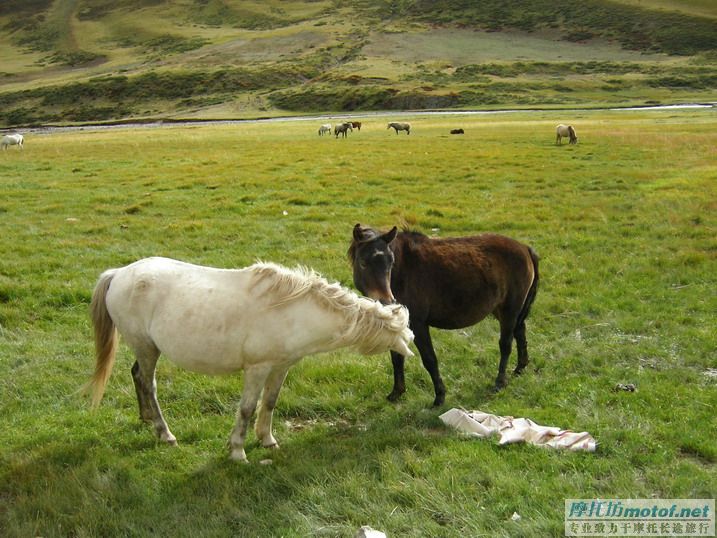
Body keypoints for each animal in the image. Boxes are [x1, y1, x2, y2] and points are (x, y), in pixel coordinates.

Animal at [88, 255, 414, 460]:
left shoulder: (282, 366)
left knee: (137, 376)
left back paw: (146, 418)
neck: (292, 311)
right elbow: (246, 408)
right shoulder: (257, 369)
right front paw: (237, 450)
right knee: (148, 383)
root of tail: (119, 273)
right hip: (145, 347)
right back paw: (164, 432)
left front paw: (267, 440)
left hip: (146, 348)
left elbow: (269, 402)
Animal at [346, 221, 536, 402]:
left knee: (506, 344)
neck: (403, 272)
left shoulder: (418, 324)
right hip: (502, 310)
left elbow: (429, 359)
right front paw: (397, 392)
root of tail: (524, 248)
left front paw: (439, 396)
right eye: (363, 263)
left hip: (509, 310)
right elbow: (397, 357)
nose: (387, 302)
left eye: (391, 263)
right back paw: (520, 367)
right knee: (520, 331)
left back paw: (500, 381)